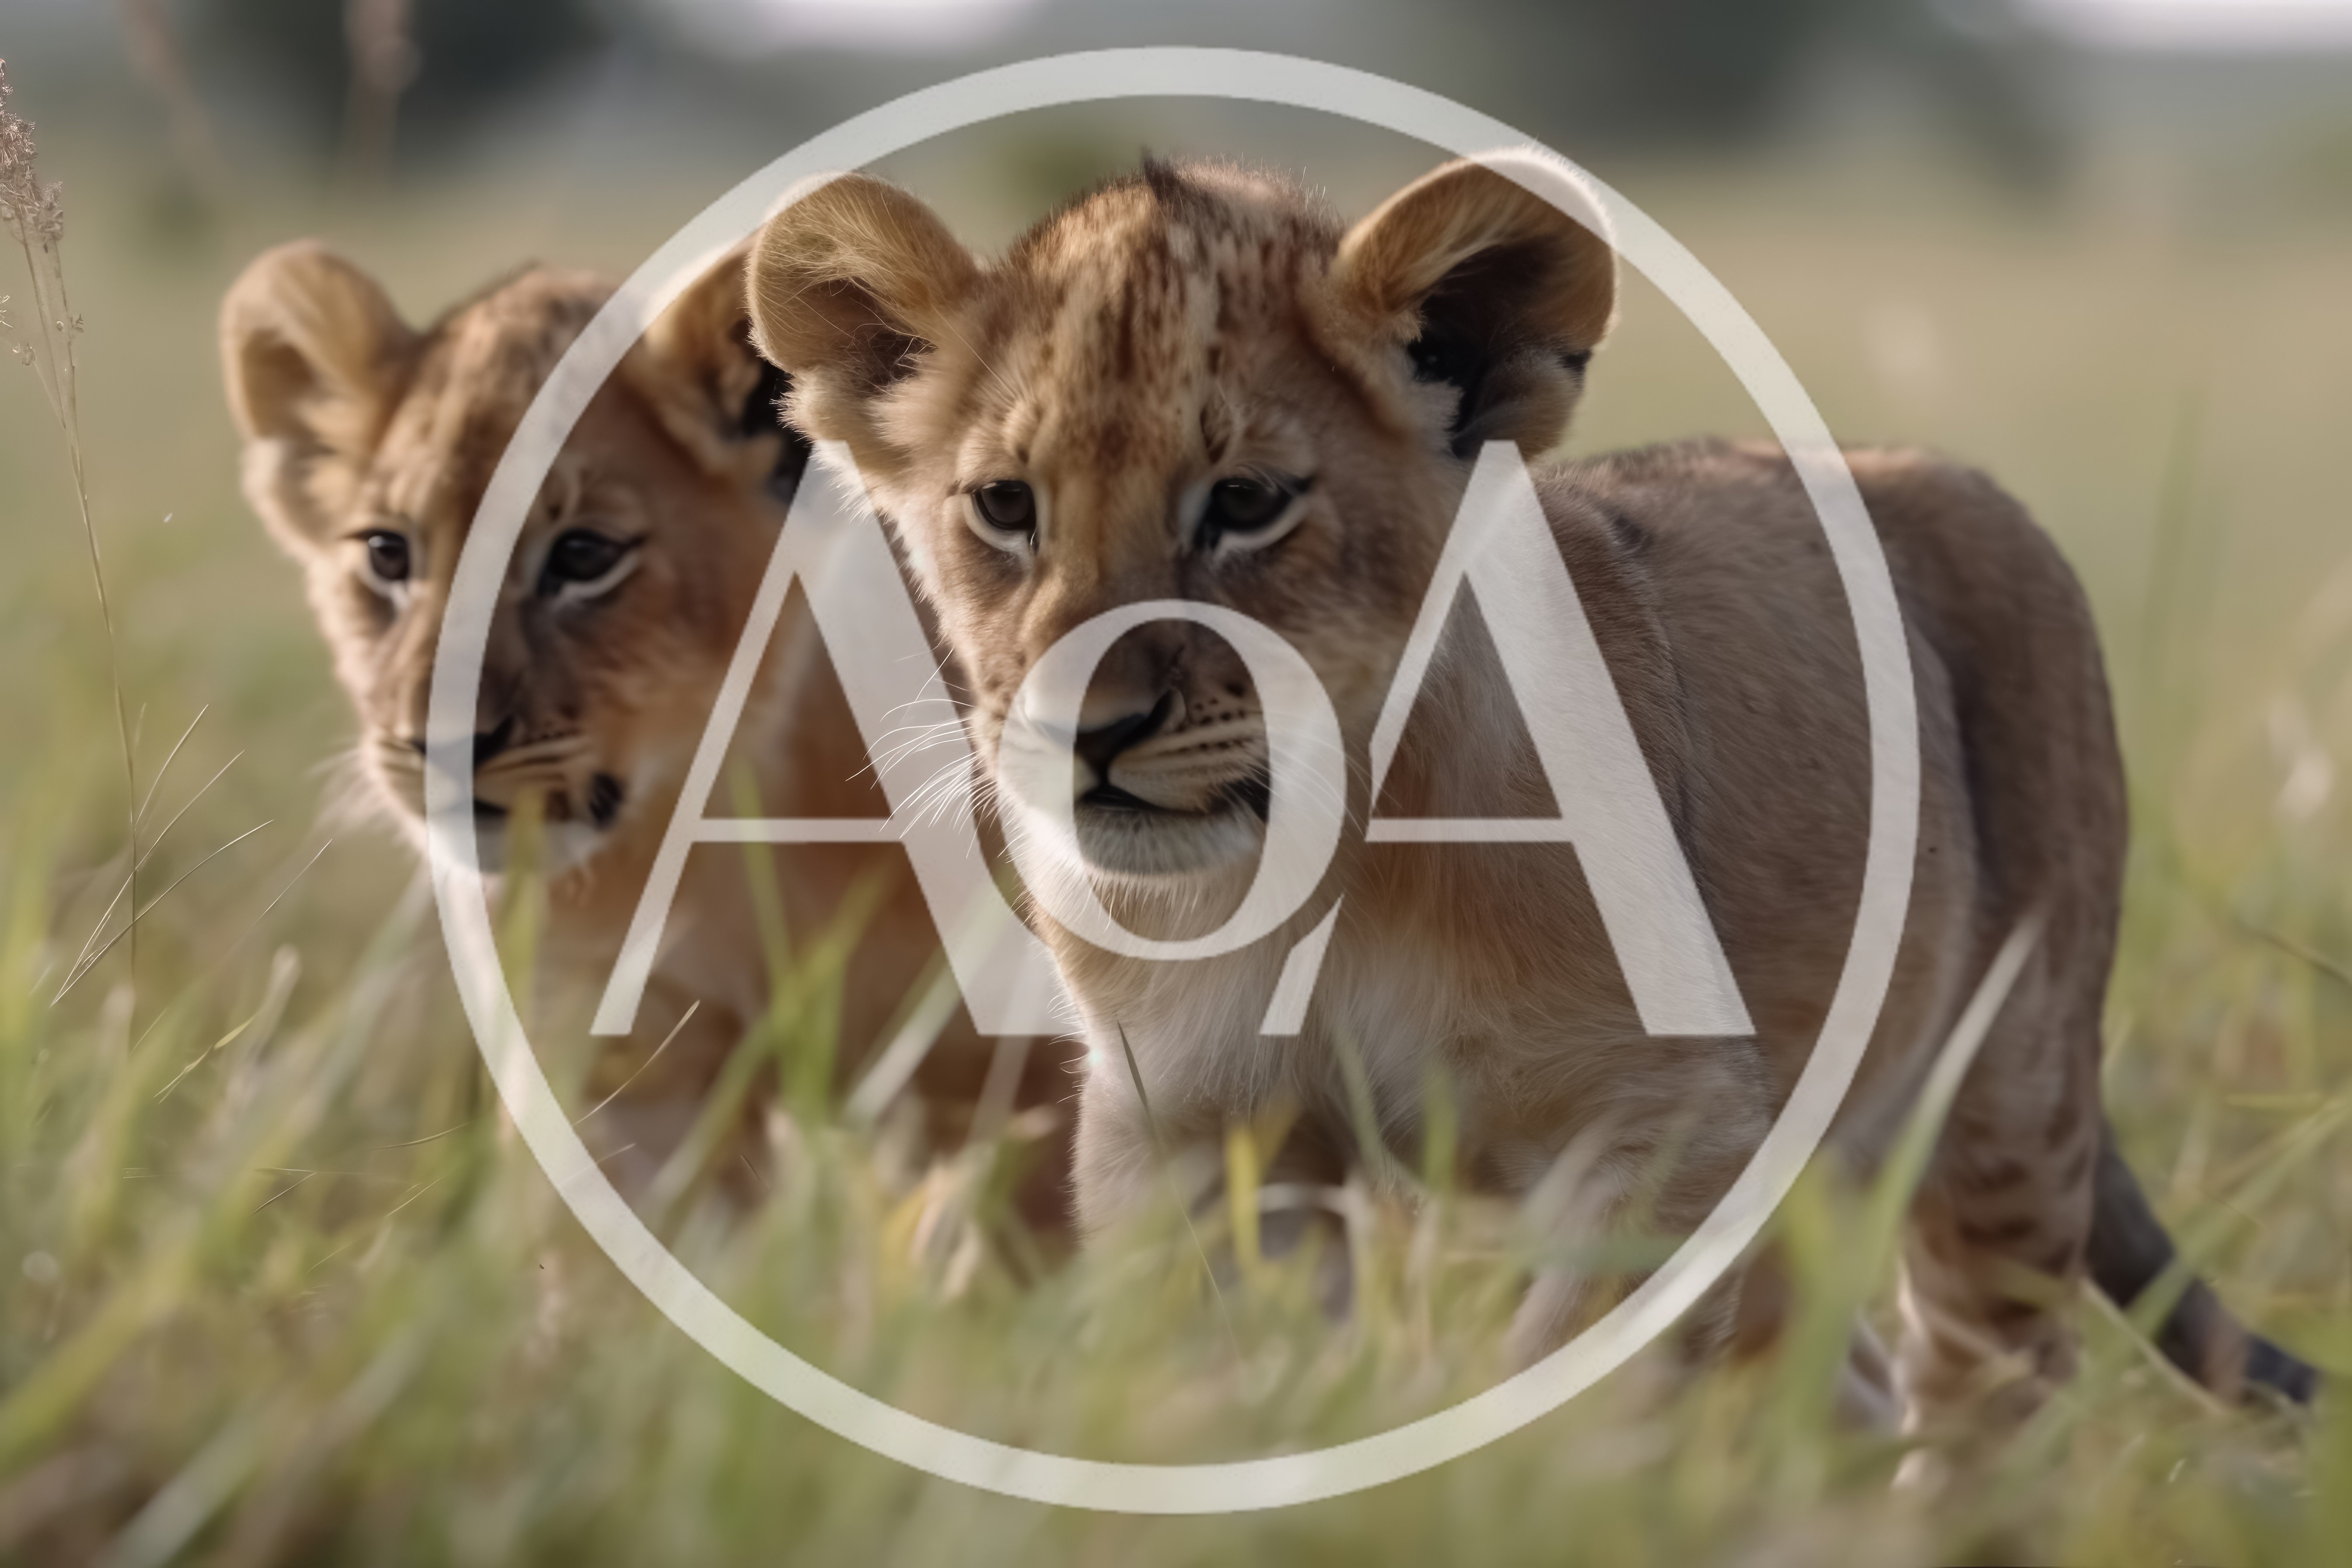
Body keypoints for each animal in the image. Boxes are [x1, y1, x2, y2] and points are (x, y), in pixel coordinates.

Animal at [740, 153, 2317, 1434]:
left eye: (1246, 504)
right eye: (1005, 506)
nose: (1092, 730)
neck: (1315, 867)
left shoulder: (1675, 1111)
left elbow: (1581, 1383)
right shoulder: (1189, 1124)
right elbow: (1217, 1380)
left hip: (2010, 1092)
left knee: (1986, 1396)